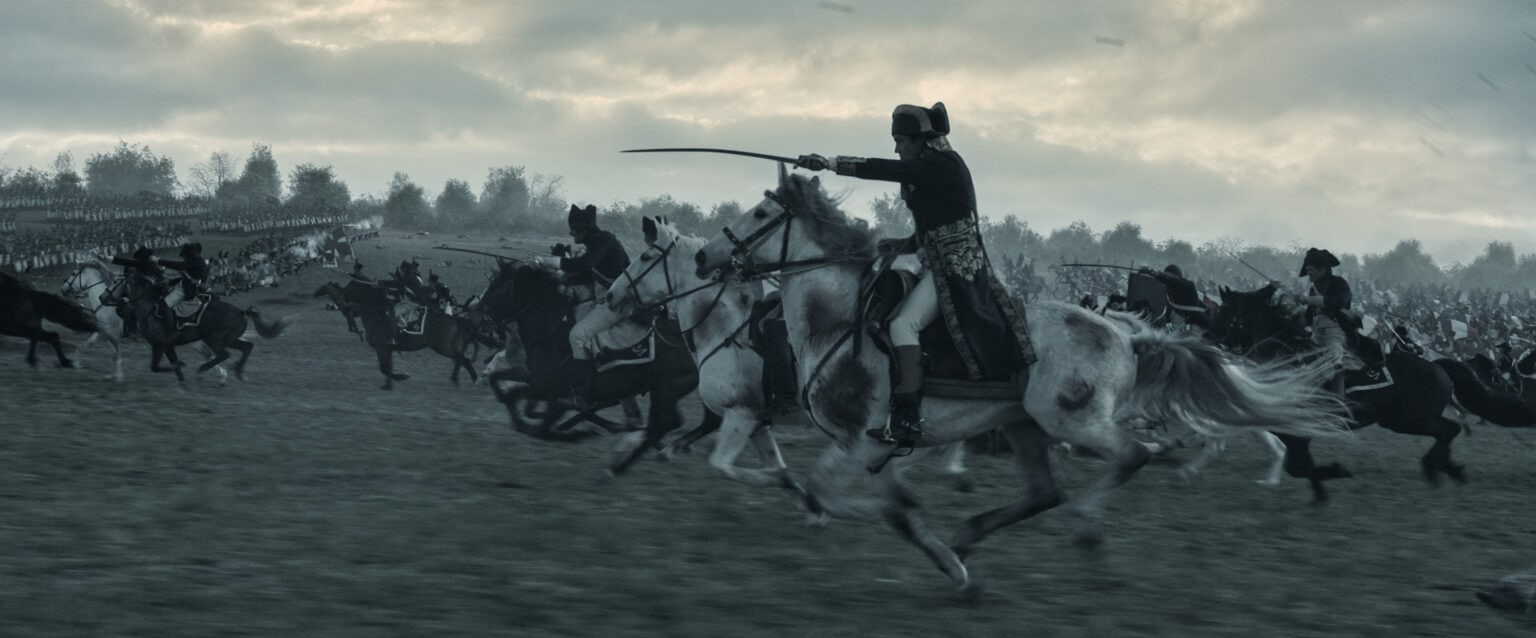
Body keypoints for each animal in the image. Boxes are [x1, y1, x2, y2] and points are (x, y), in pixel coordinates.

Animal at [119, 270, 290, 384]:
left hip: (214, 339)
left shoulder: (160, 345)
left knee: (224, 354)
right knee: (247, 347)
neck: (150, 310)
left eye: (118, 283)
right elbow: (169, 367)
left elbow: (157, 366)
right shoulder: (166, 346)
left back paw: (204, 369)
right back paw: (238, 372)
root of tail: (242, 312)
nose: (106, 297)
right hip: (229, 339)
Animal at [340, 282, 479, 392]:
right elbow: (387, 367)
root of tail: (454, 319)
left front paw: (401, 377)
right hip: (451, 346)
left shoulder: (382, 348)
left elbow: (384, 368)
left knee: (463, 359)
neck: (378, 316)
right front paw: (387, 386)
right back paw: (456, 379)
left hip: (442, 347)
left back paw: (474, 379)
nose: (342, 298)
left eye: (350, 287)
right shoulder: (387, 349)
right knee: (460, 359)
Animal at [479, 259, 703, 445]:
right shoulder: (539, 385)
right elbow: (510, 395)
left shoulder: (552, 392)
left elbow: (539, 426)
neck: (552, 330)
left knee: (667, 422)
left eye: (499, 288)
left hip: (665, 391)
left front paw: (578, 433)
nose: (479, 317)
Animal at [691, 172, 1351, 593]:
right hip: (1024, 426)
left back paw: (1082, 527)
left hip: (1070, 420)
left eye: (761, 214)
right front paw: (946, 558)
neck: (837, 319)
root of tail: (1125, 337)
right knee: (1043, 492)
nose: (703, 259)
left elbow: (837, 498)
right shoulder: (875, 449)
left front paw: (931, 547)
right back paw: (970, 535)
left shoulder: (859, 441)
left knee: (1130, 456)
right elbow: (874, 506)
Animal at [1210, 285, 1462, 504]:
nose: (1207, 338)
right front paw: (1323, 488)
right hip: (1399, 420)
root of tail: (1436, 366)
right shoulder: (1288, 428)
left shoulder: (1300, 428)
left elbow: (1299, 466)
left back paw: (1438, 468)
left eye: (1224, 313)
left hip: (1410, 420)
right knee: (1449, 430)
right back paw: (1447, 467)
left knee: (1450, 430)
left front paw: (1334, 474)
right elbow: (1299, 465)